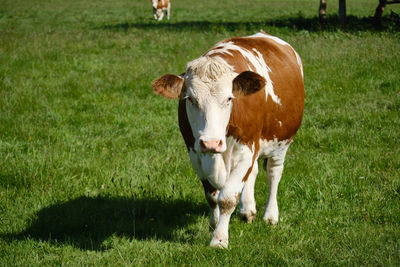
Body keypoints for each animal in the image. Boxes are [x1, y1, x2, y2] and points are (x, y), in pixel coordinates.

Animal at [152, 31, 304, 249]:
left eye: (229, 98)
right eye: (190, 99)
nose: (210, 143)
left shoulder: (248, 149)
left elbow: (227, 198)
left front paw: (219, 239)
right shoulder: (195, 154)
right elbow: (212, 196)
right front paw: (213, 224)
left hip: (281, 141)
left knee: (273, 174)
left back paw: (270, 215)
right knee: (253, 173)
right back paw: (247, 209)